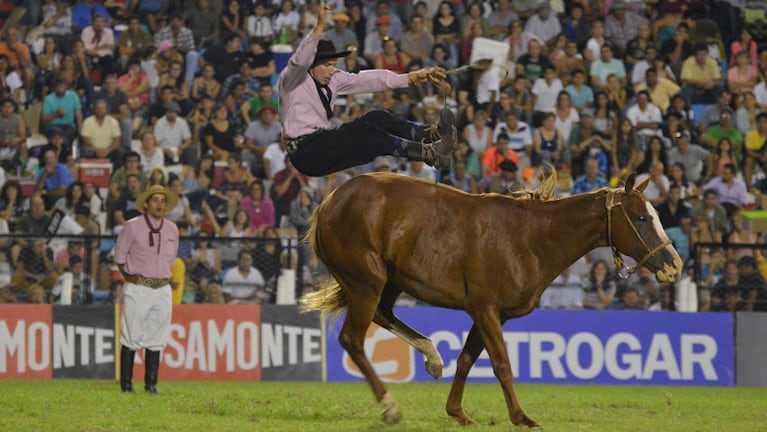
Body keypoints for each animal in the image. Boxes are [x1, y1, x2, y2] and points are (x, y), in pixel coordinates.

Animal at [300, 171, 684, 428]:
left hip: (388, 280)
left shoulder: (492, 313)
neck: (530, 237)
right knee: (353, 339)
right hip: (367, 279)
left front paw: (458, 412)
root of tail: (329, 202)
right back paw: (390, 407)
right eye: (641, 217)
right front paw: (521, 416)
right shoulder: (484, 308)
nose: (674, 265)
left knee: (383, 314)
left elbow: (467, 359)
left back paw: (431, 355)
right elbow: (501, 365)